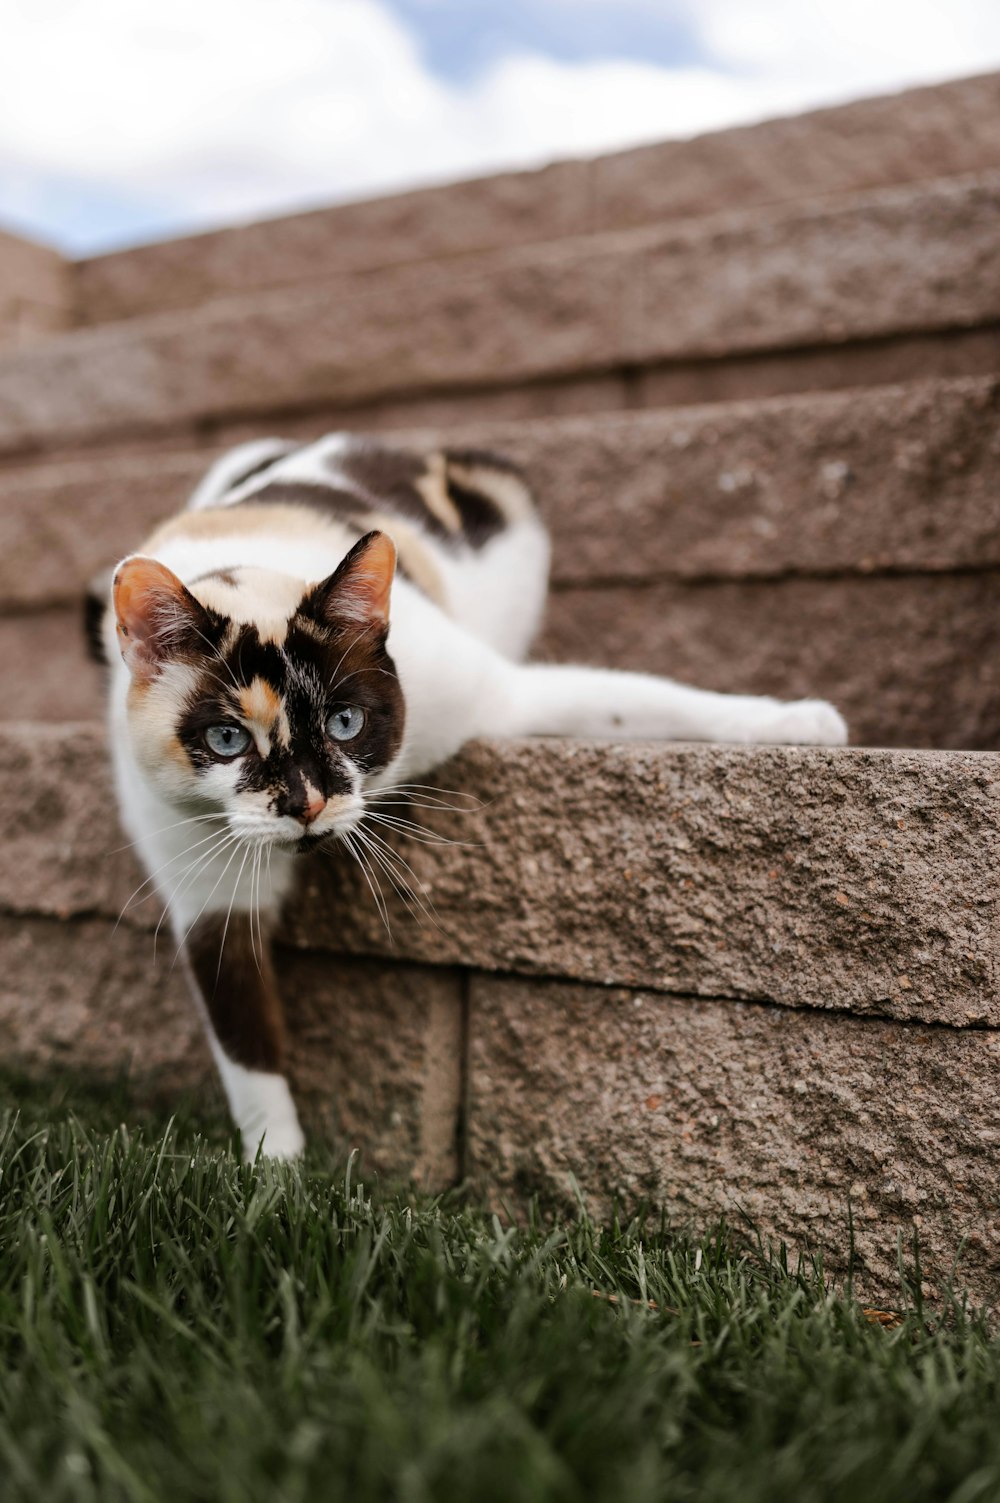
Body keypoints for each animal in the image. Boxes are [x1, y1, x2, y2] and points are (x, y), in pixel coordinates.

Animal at [91, 435, 842, 1160]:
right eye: (226, 739)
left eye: (344, 723)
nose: (306, 804)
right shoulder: (209, 901)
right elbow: (248, 1055)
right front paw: (277, 1176)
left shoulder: (501, 695)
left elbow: (643, 699)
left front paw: (799, 722)